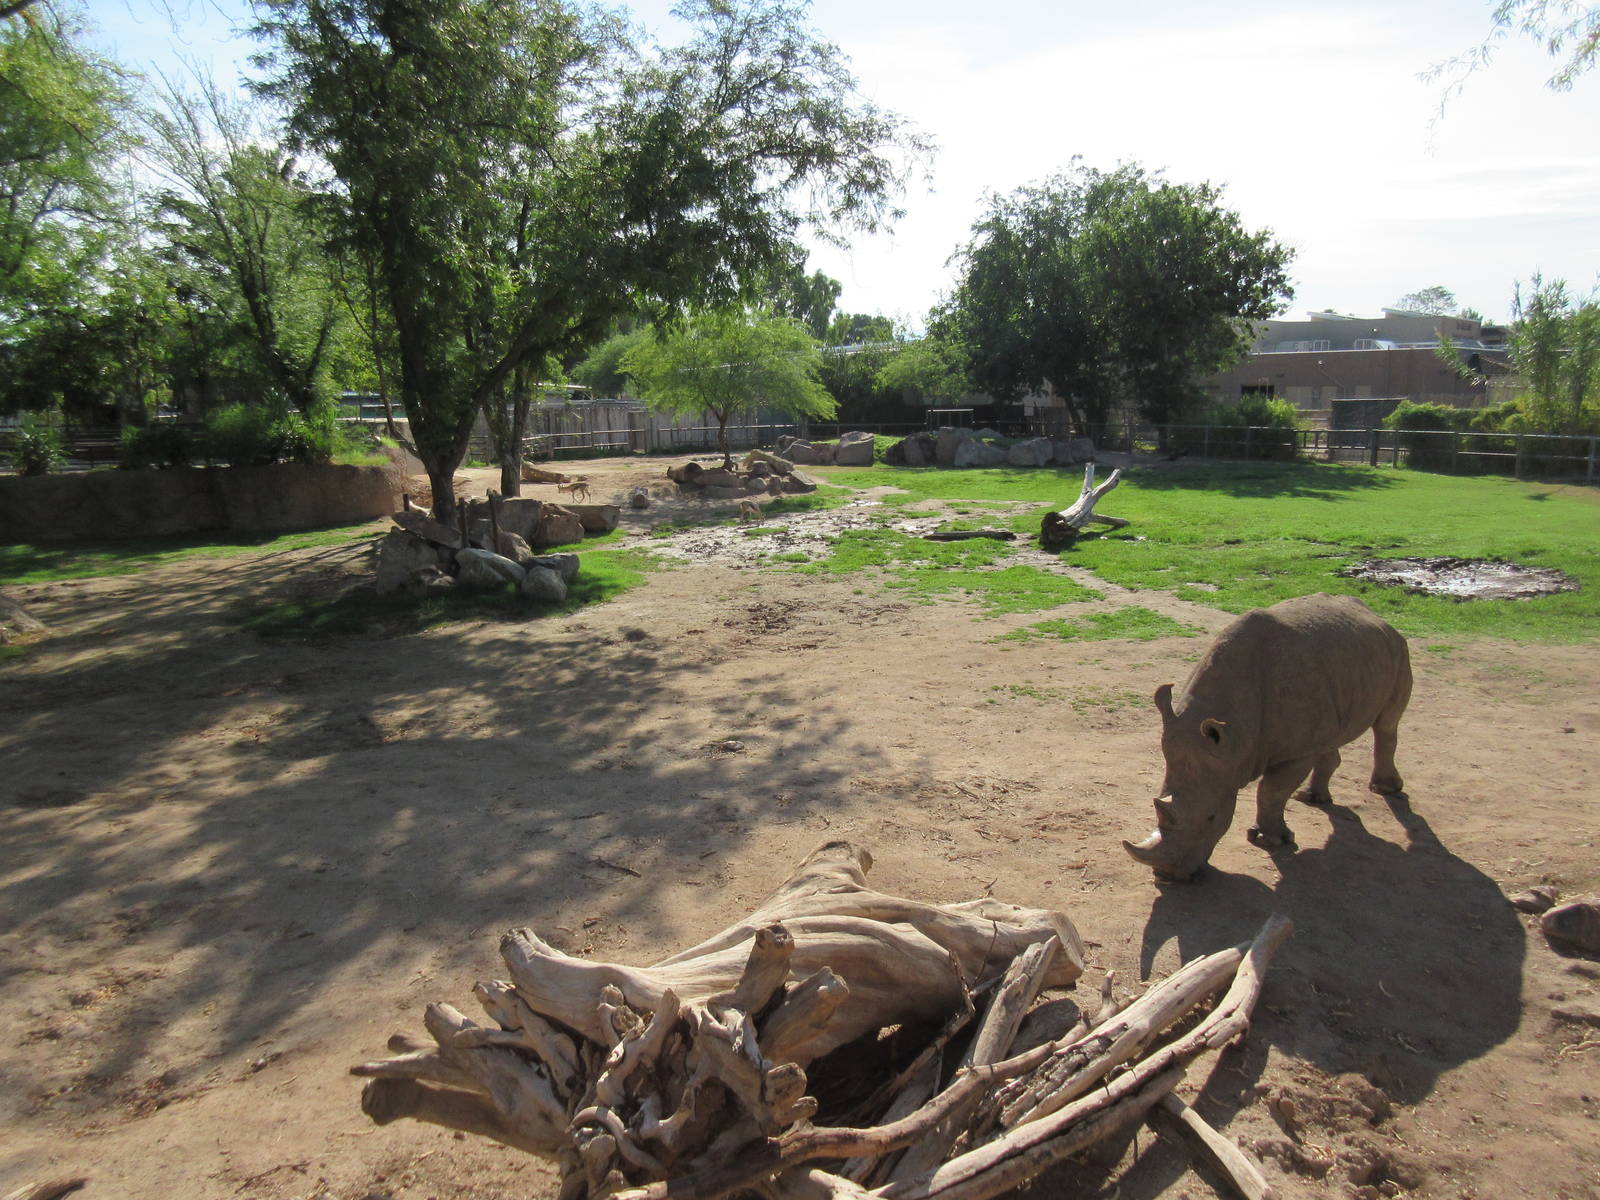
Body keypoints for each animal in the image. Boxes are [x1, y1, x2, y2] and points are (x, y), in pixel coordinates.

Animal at [1123, 593, 1411, 881]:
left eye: (1211, 818)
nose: (1167, 875)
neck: (1234, 739)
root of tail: (1374, 614)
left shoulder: (1296, 752)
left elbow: (1272, 791)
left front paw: (1270, 841)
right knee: (1331, 735)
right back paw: (1312, 798)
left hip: (1399, 650)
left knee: (1387, 725)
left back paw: (1385, 789)